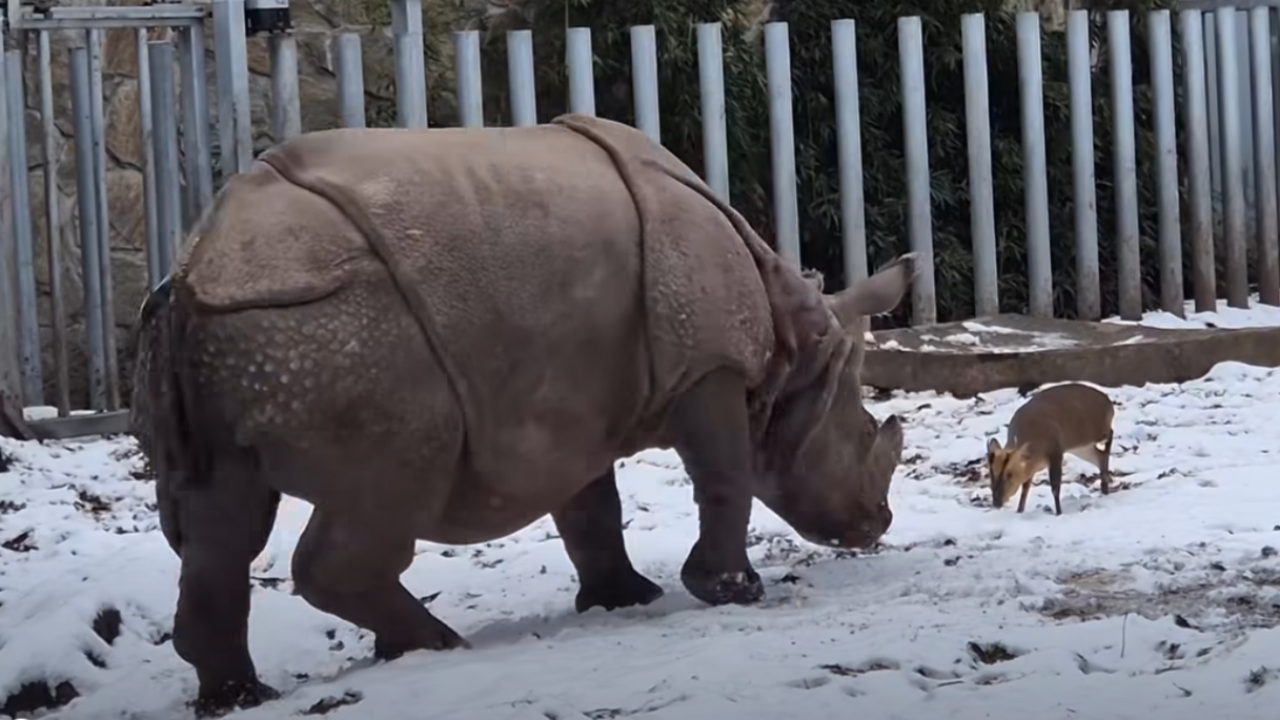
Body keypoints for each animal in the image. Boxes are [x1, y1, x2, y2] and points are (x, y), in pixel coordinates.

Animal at [131, 114, 916, 716]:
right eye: (861, 435)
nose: (875, 525)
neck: (795, 348)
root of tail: (201, 264)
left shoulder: (570, 401)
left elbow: (591, 506)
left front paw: (624, 601)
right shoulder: (708, 367)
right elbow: (724, 477)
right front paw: (733, 593)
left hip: (244, 333)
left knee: (219, 519)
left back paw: (241, 696)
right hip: (340, 329)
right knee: (388, 485)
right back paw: (436, 646)